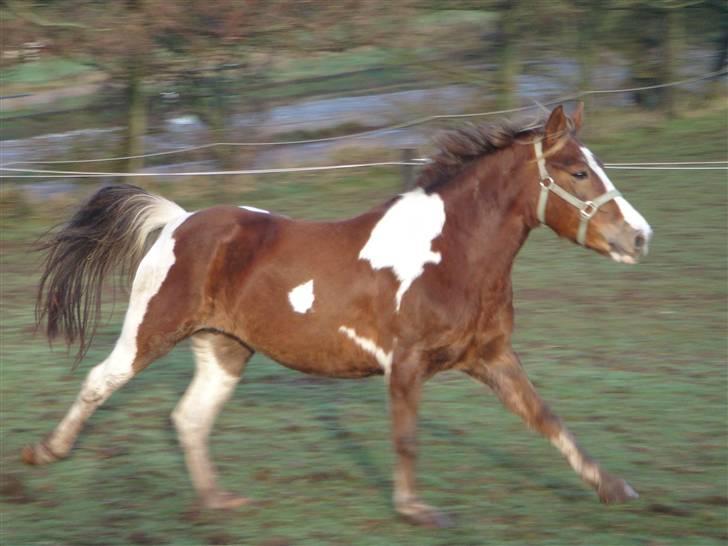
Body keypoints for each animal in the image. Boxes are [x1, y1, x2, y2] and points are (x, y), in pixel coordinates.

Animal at [22, 104, 652, 524]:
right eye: (578, 172)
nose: (640, 237)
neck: (451, 253)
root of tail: (178, 220)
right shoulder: (406, 364)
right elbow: (406, 437)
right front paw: (416, 510)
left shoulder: (491, 357)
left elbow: (546, 418)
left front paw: (614, 488)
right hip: (151, 330)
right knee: (101, 380)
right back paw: (45, 452)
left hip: (225, 349)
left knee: (190, 418)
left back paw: (217, 502)